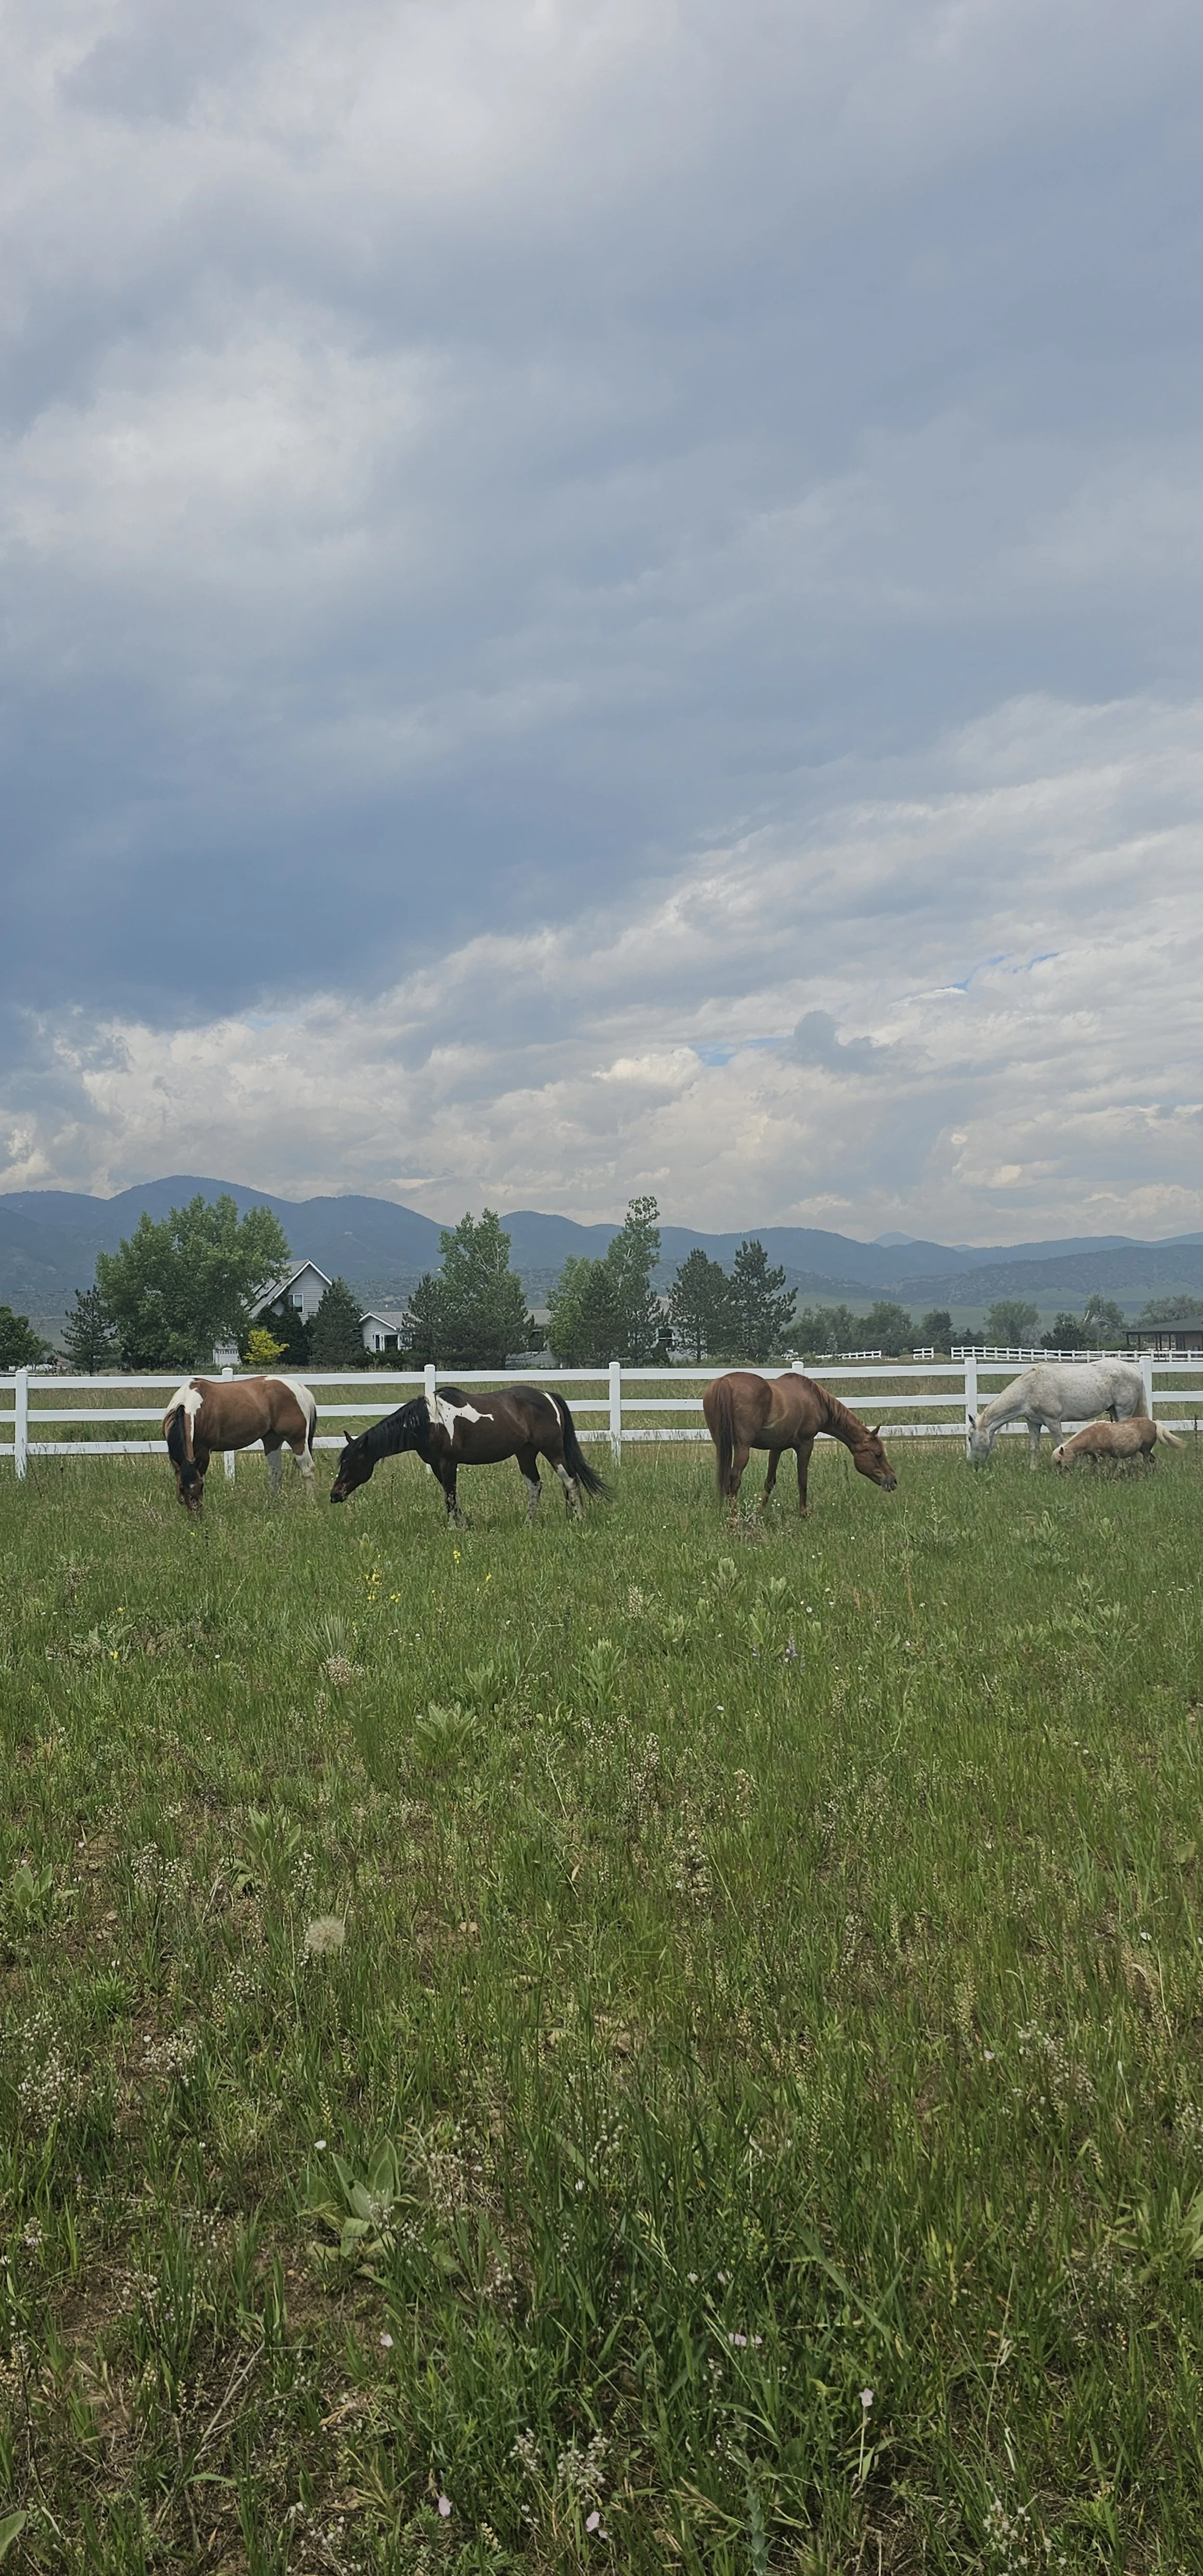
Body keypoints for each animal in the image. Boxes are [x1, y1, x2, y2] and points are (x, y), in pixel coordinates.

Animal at [163, 1374, 317, 1513]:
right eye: (182, 1488)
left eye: (201, 1486)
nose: (196, 1516)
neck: (188, 1404)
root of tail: (300, 1388)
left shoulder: (204, 1453)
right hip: (272, 1441)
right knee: (276, 1471)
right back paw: (272, 1504)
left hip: (298, 1440)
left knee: (308, 1470)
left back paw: (310, 1503)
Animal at [328, 1383, 607, 1524]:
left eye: (353, 1462)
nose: (335, 1495)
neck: (429, 1422)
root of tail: (549, 1396)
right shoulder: (438, 1466)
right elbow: (450, 1495)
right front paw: (462, 1524)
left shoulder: (448, 1463)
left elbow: (450, 1496)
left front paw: (454, 1527)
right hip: (525, 1454)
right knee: (536, 1485)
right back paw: (529, 1523)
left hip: (552, 1450)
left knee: (570, 1481)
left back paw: (579, 1519)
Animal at [702, 1370, 897, 1524]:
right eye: (878, 1454)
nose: (893, 1481)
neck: (814, 1399)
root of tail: (724, 1382)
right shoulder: (806, 1445)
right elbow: (802, 1480)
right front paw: (804, 1514)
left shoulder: (776, 1449)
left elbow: (769, 1482)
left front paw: (760, 1513)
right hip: (742, 1448)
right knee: (734, 1480)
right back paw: (733, 1520)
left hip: (721, 1445)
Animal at [965, 1360, 1145, 1470]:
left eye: (970, 1438)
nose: (974, 1464)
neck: (1029, 1389)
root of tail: (1134, 1369)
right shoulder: (1033, 1422)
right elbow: (1034, 1447)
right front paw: (1033, 1470)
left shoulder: (1053, 1421)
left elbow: (1061, 1444)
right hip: (1114, 1410)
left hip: (1123, 1410)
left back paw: (1127, 1466)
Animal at [1052, 1416, 1183, 1471]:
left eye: (1059, 1462)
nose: (1061, 1474)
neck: (1092, 1436)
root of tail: (1154, 1424)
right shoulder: (1094, 1455)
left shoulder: (1106, 1455)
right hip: (1144, 1450)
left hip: (1146, 1450)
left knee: (1147, 1461)